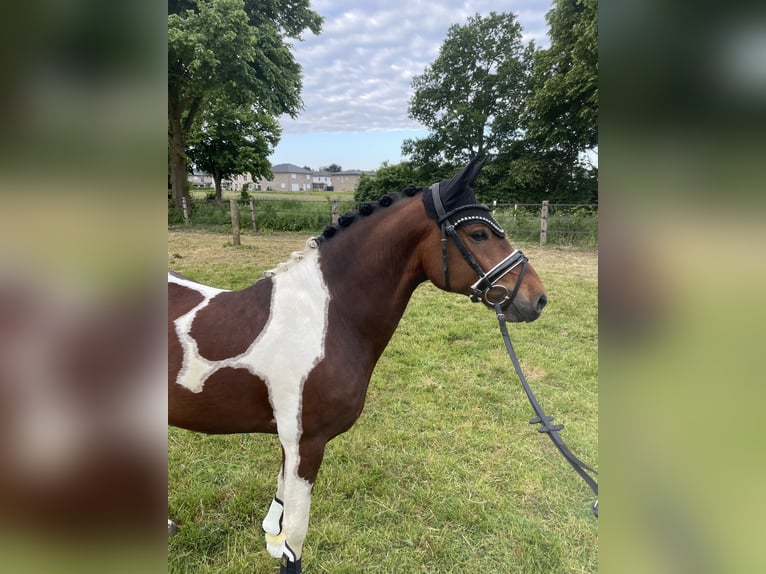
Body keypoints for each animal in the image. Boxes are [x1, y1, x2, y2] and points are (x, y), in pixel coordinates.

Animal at [170, 159, 548, 574]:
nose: (538, 298)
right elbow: (294, 538)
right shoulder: (306, 443)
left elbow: (279, 521)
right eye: (479, 233)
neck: (324, 318)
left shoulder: (290, 444)